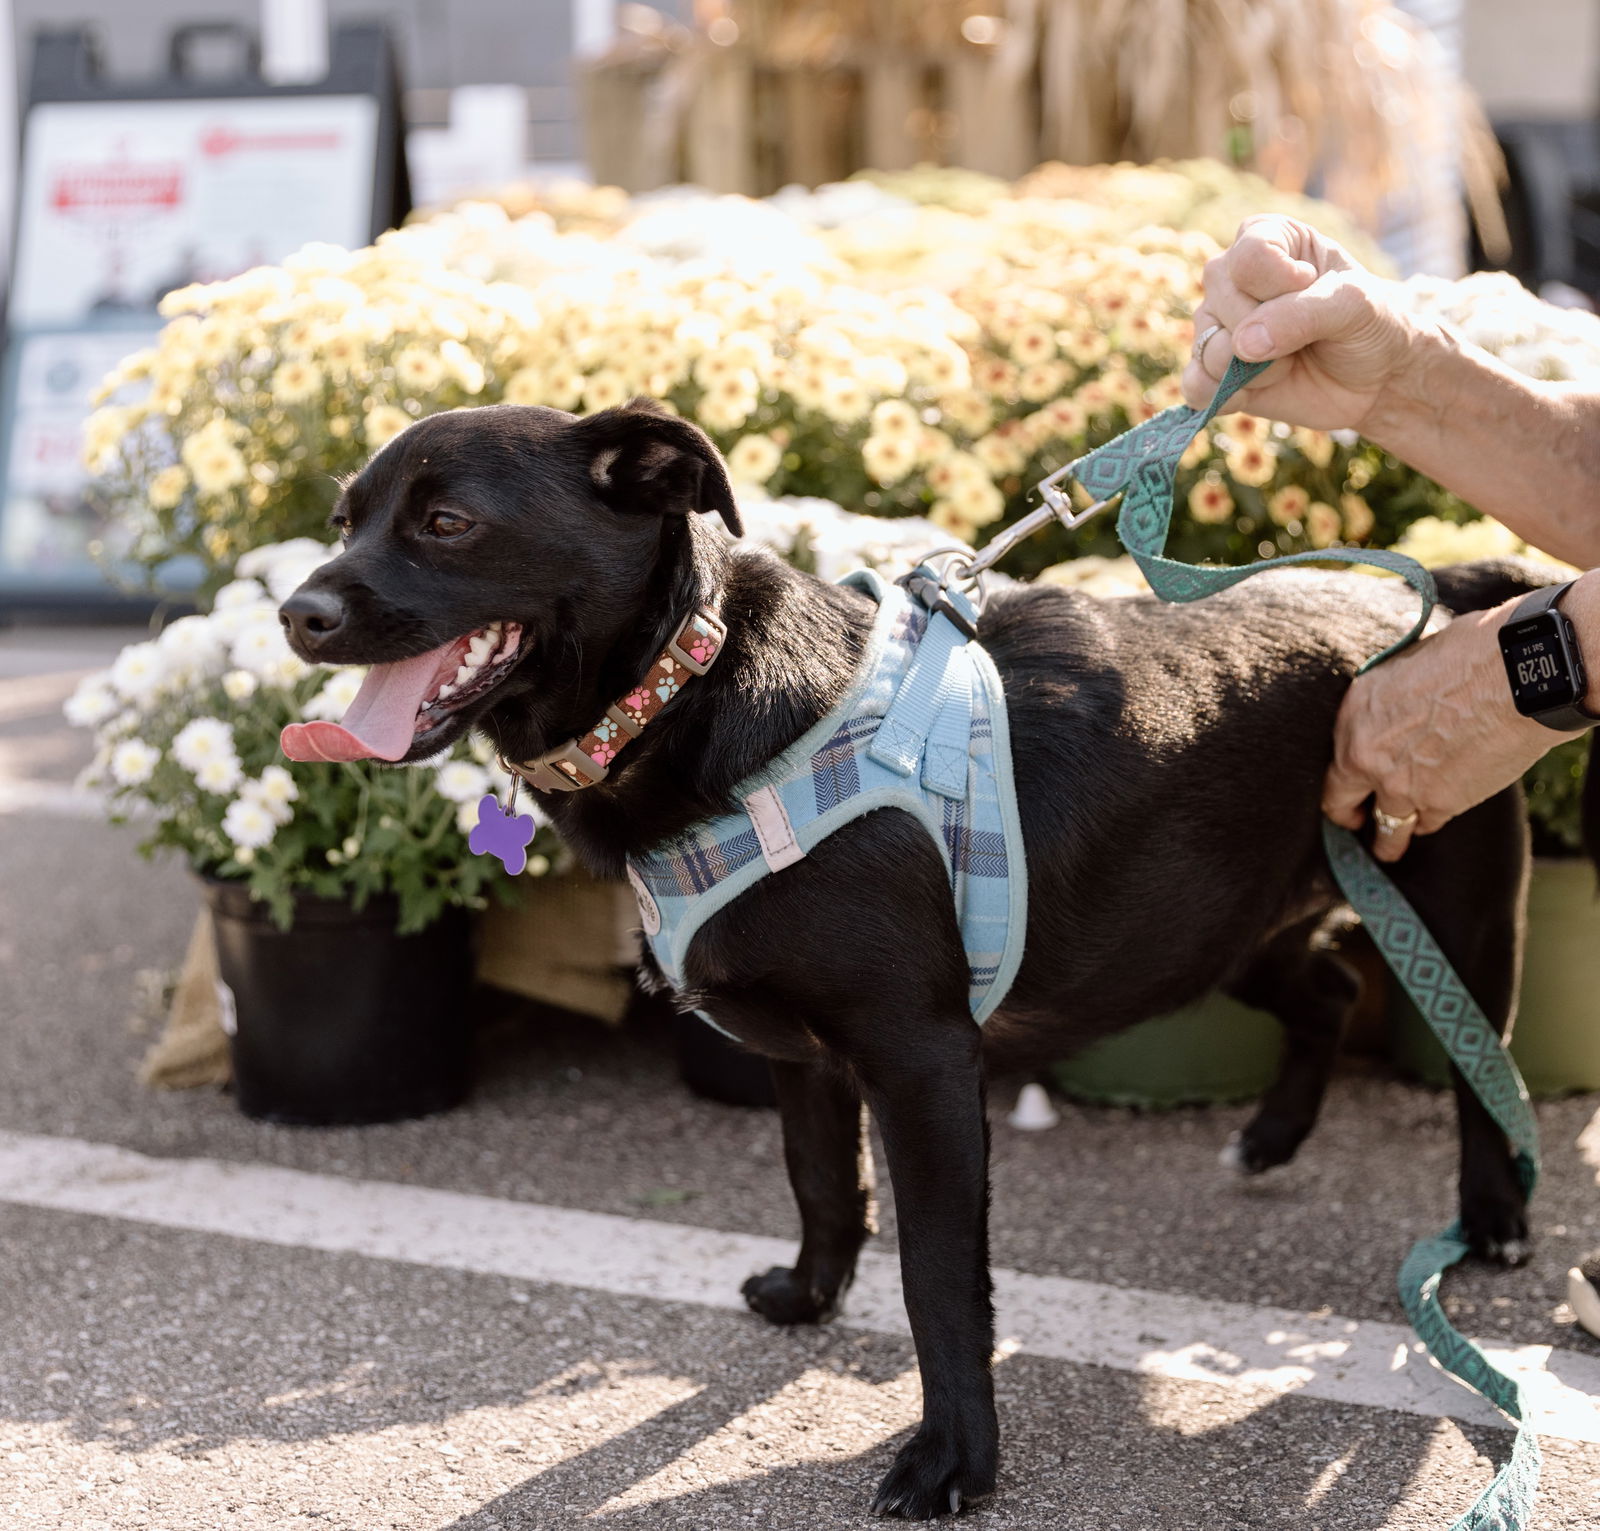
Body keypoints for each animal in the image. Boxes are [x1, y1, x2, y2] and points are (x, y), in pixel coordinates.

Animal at [281, 396, 1568, 1516]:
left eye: (448, 522)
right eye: (346, 518)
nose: (297, 614)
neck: (698, 694)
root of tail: (1450, 594)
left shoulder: (922, 1062)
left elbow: (938, 1279)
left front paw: (953, 1461)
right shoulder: (801, 1056)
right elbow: (822, 1182)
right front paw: (808, 1295)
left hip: (1455, 918)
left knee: (1481, 1068)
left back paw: (1492, 1220)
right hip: (1220, 923)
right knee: (1332, 986)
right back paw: (1272, 1136)